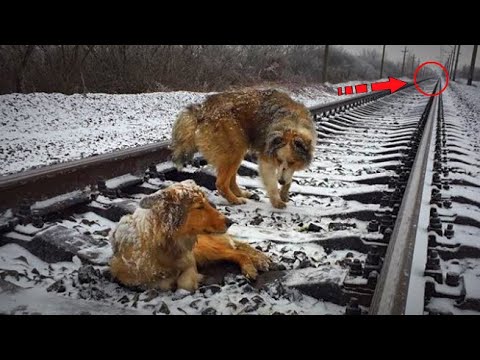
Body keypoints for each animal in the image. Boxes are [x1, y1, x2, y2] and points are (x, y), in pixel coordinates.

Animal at [110, 180, 272, 292]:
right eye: (199, 207)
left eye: (207, 203)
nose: (230, 221)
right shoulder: (124, 275)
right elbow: (157, 282)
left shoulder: (190, 261)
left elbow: (184, 283)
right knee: (237, 250)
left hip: (205, 248)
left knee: (238, 252)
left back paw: (251, 267)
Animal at [171, 88, 316, 210]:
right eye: (278, 160)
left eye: (292, 162)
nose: (280, 181)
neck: (292, 123)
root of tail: (201, 111)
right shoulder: (266, 159)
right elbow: (272, 183)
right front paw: (276, 200)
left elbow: (288, 177)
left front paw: (284, 192)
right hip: (234, 149)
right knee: (221, 183)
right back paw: (235, 200)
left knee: (231, 180)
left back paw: (242, 194)